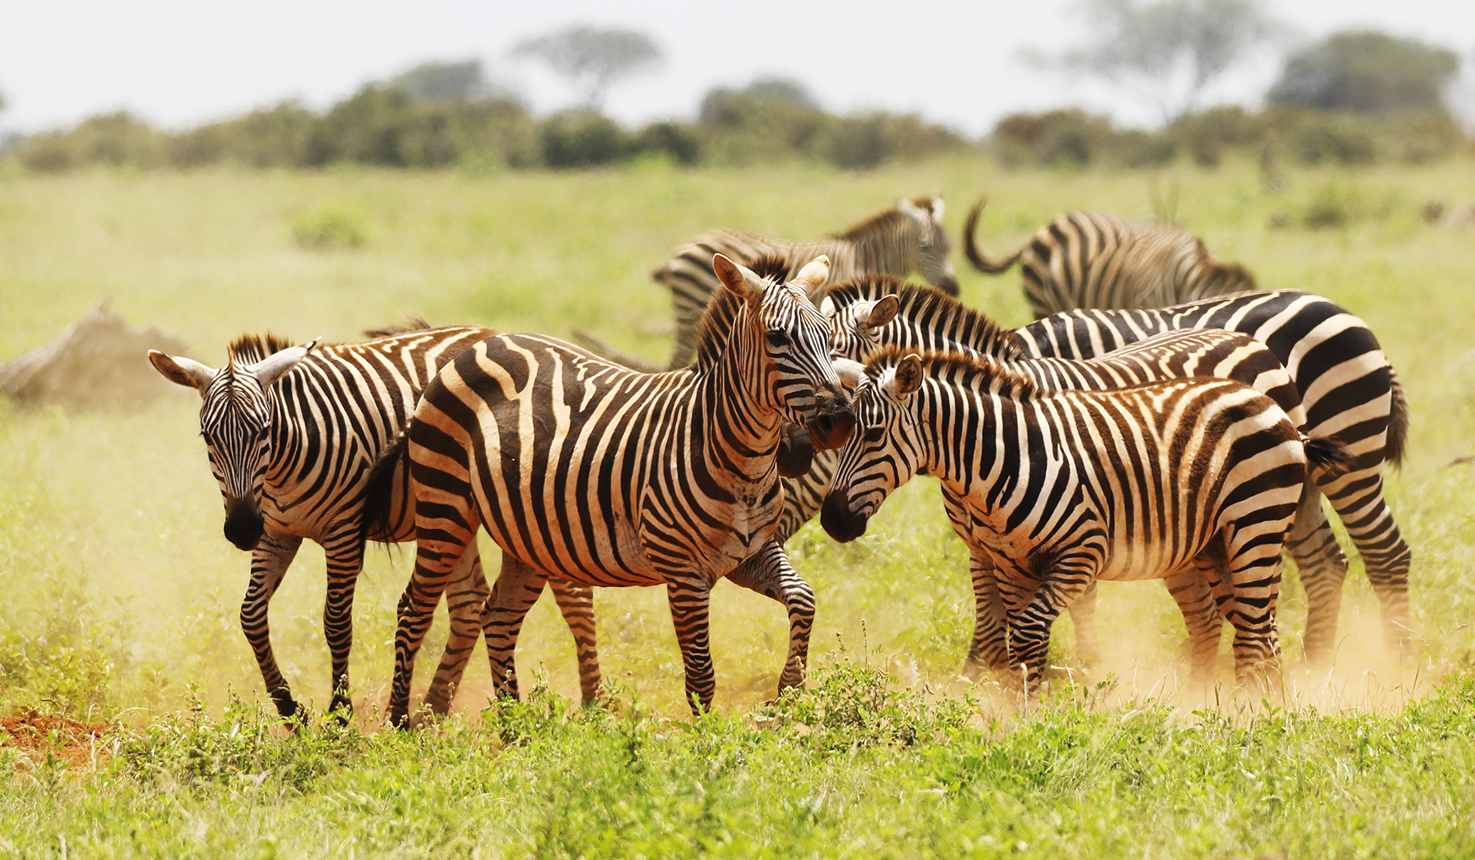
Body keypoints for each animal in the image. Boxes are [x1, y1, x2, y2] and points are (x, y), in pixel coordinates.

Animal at [148, 325, 602, 720]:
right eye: (207, 437)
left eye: (264, 430)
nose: (241, 530)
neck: (281, 466)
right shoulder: (276, 533)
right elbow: (251, 616)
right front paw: (290, 710)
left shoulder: (344, 531)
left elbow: (335, 622)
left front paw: (340, 712)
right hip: (453, 514)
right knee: (470, 603)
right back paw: (432, 711)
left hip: (528, 510)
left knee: (575, 597)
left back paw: (594, 706)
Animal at [364, 254, 854, 722]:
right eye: (777, 338)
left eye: (828, 336)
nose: (840, 420)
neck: (737, 458)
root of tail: (479, 343)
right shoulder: (683, 570)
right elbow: (701, 676)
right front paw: (705, 742)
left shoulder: (750, 553)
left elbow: (804, 599)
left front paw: (790, 690)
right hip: (445, 507)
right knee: (414, 608)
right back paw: (400, 723)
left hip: (527, 537)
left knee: (498, 617)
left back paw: (514, 730)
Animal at [646, 195, 958, 370]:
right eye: (925, 247)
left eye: (949, 247)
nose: (954, 288)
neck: (862, 258)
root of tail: (682, 249)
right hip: (690, 311)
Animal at [824, 277, 1320, 676]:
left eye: (836, 350)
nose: (833, 520)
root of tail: (1242, 338)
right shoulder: (983, 545)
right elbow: (993, 621)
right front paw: (982, 680)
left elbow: (1069, 610)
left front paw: (1084, 672)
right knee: (1220, 614)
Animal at [1013, 291, 1412, 663]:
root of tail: (1334, 306)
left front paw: (1086, 664)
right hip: (1294, 477)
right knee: (1326, 564)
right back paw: (1315, 663)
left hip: (1350, 452)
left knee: (1386, 553)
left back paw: (1398, 659)